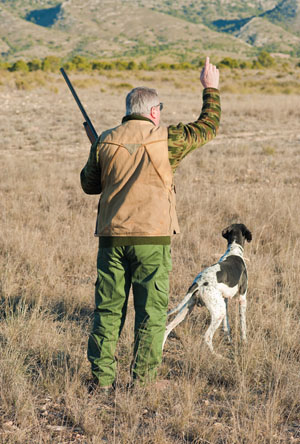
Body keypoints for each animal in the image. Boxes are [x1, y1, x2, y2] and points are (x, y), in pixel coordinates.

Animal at [163, 224, 252, 356]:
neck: (234, 250)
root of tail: (199, 283)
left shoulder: (224, 300)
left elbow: (226, 324)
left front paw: (229, 339)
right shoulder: (242, 298)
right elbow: (243, 324)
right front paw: (244, 341)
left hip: (189, 308)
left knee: (167, 328)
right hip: (217, 313)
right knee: (207, 336)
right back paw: (217, 356)